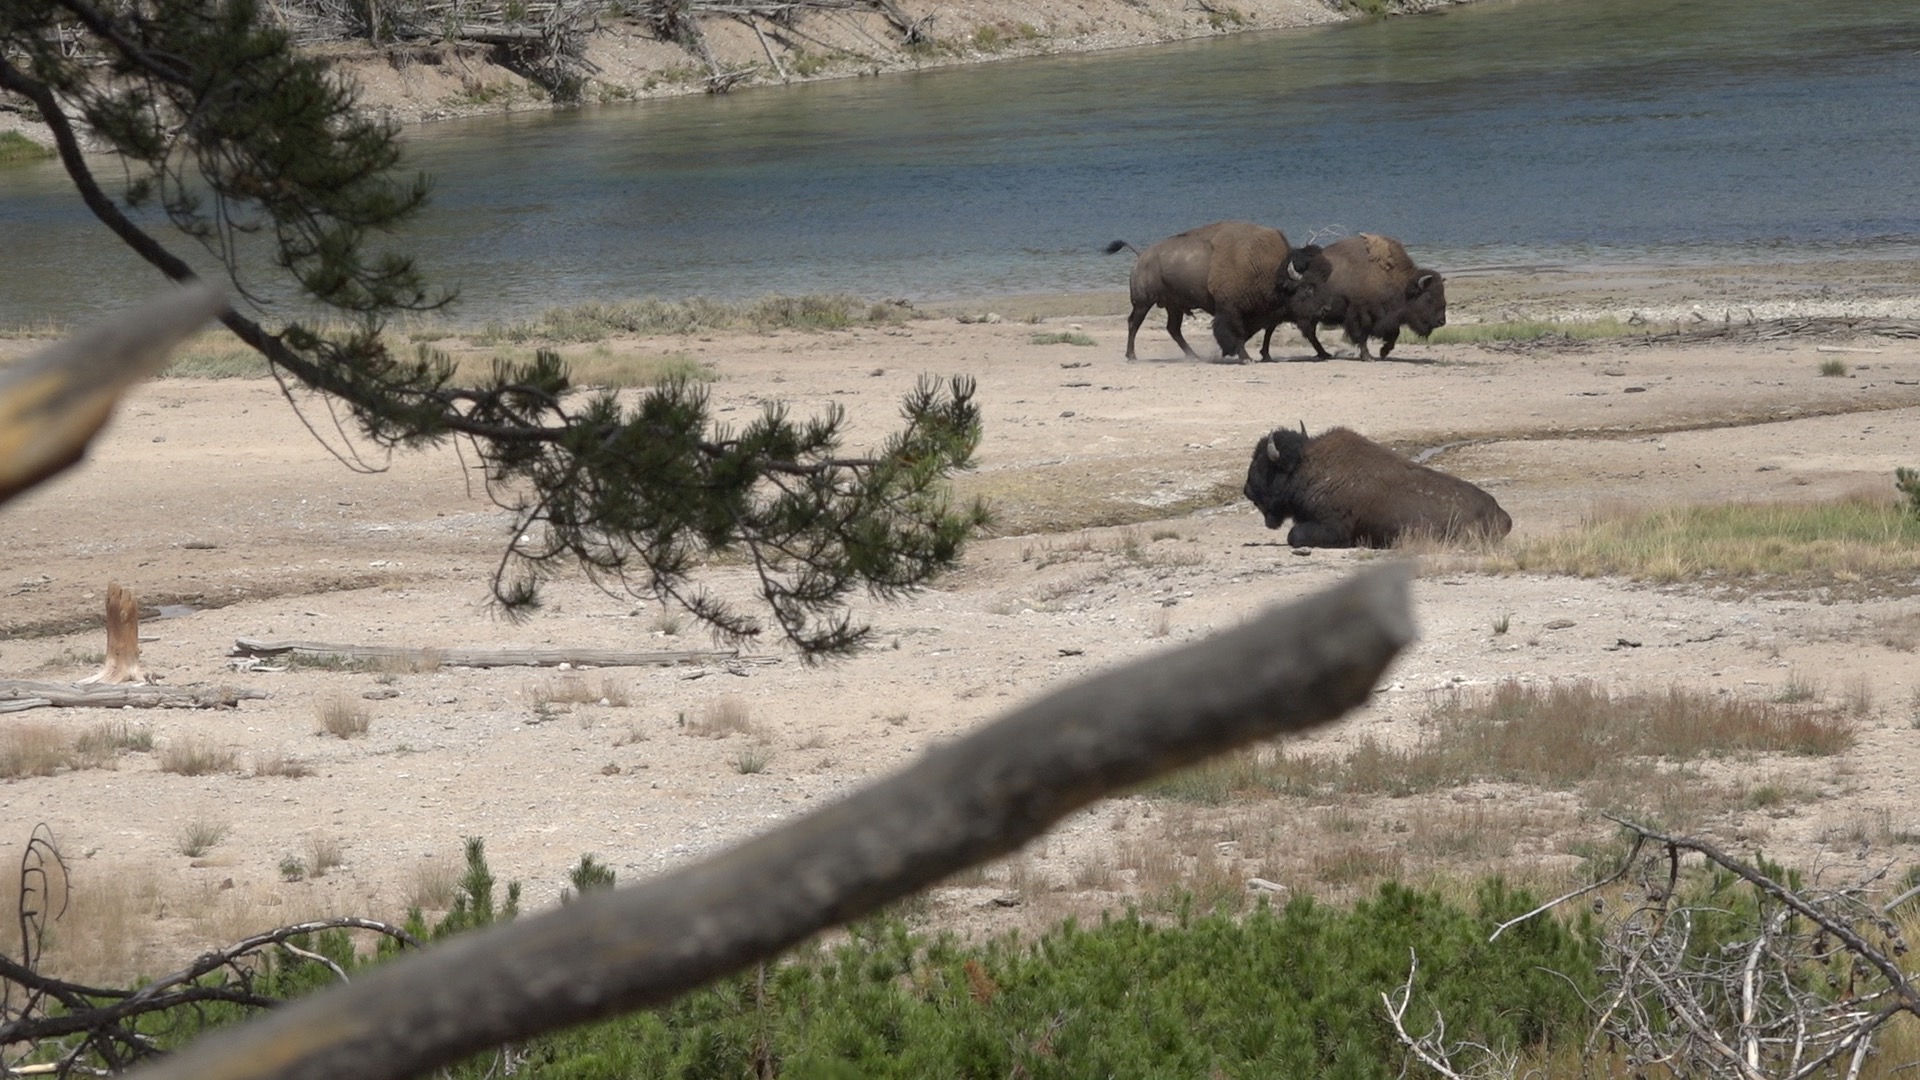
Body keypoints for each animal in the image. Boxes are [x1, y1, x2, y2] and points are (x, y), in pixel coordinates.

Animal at [1106, 221, 1326, 363]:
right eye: (1306, 289)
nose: (1323, 310)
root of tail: (1142, 256)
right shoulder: (1231, 310)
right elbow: (1237, 332)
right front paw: (1245, 357)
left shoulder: (1267, 313)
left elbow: (1266, 330)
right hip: (1143, 303)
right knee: (1134, 323)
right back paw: (1132, 356)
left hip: (1173, 306)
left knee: (1173, 329)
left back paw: (1193, 356)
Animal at [1243, 425, 1511, 548]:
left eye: (1261, 465)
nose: (1246, 491)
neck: (1303, 466)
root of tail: (1501, 513)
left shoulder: (1333, 527)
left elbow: (1294, 536)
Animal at [1284, 234, 1446, 361]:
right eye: (1429, 296)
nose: (1442, 321)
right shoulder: (1359, 314)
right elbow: (1361, 336)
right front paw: (1368, 357)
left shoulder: (1387, 318)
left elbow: (1394, 334)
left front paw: (1383, 352)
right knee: (1310, 333)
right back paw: (1325, 354)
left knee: (1310, 334)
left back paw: (1325, 354)